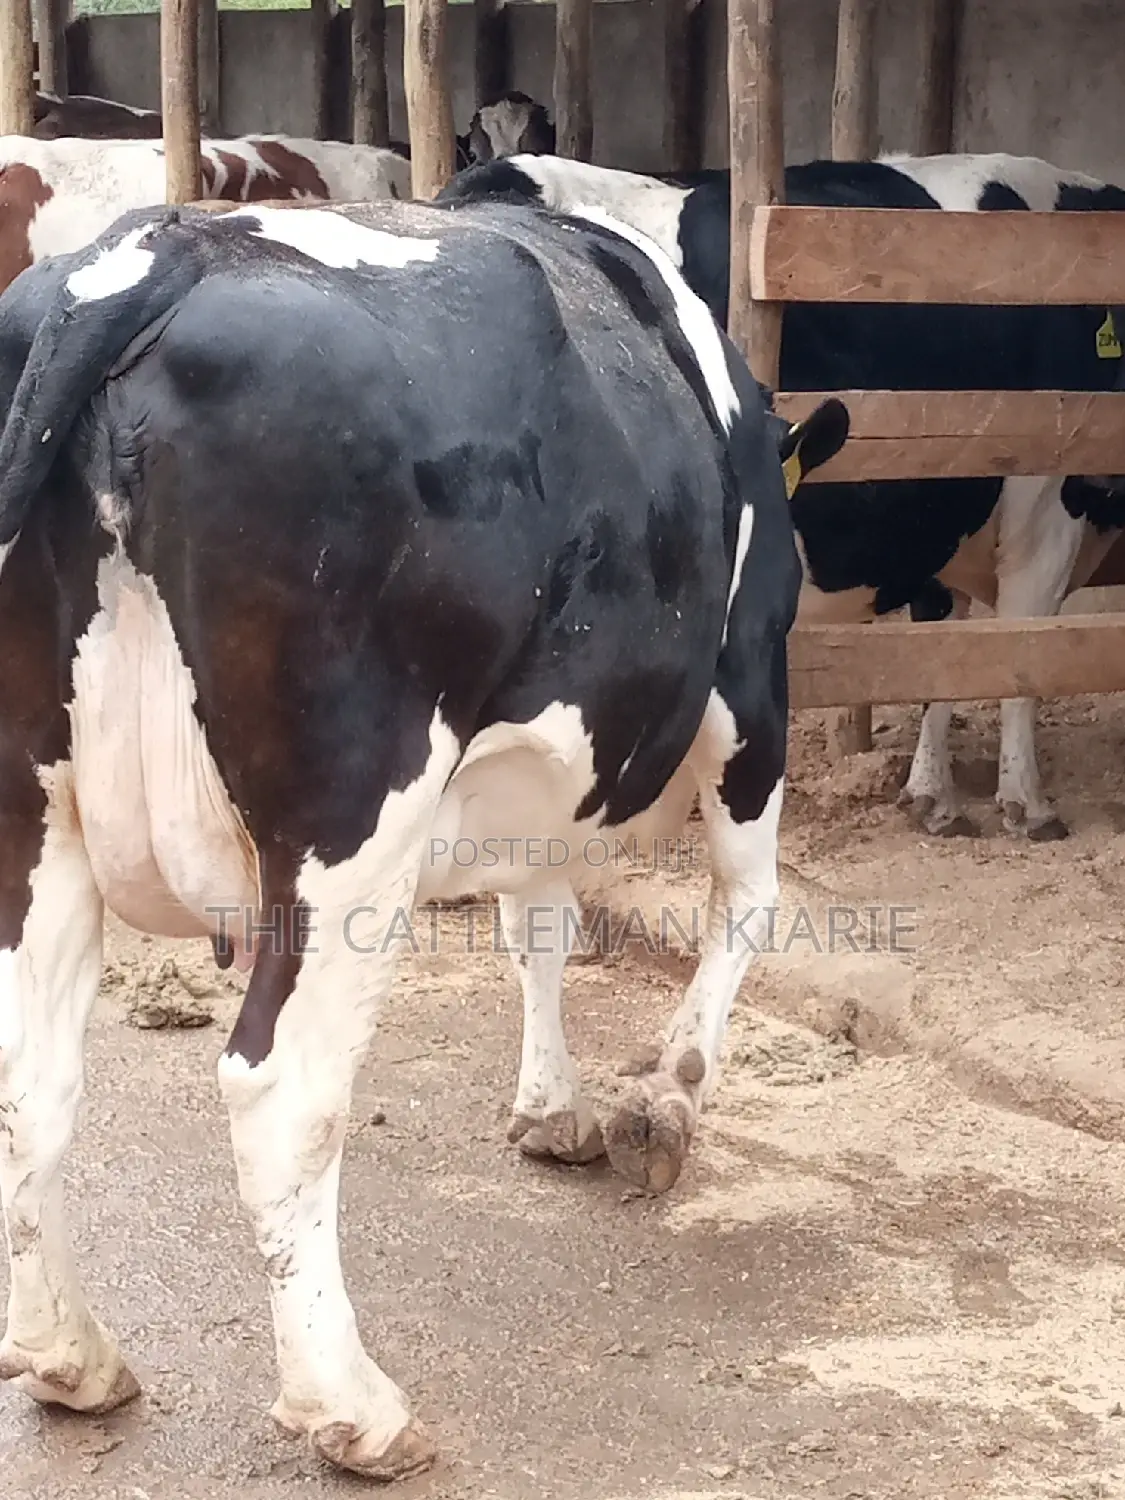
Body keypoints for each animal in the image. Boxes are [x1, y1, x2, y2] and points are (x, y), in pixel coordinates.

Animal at [0, 196, 846, 1476]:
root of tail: (150, 254)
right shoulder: (753, 685)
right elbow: (745, 903)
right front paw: (665, 1098)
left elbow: (537, 922)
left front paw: (553, 1109)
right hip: (352, 816)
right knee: (282, 1090)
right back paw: (352, 1406)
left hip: (33, 807)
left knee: (29, 1076)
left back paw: (71, 1357)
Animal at [438, 150, 1125, 841]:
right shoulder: (1046, 512)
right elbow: (1023, 654)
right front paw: (1026, 802)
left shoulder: (939, 523)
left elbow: (948, 658)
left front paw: (933, 792)